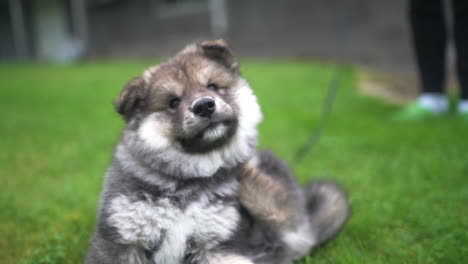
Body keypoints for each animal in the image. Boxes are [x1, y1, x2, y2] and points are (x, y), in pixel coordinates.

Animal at [85, 39, 348, 264]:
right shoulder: (122, 239)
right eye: (173, 102)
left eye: (212, 86)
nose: (204, 105)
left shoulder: (217, 244)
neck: (188, 181)